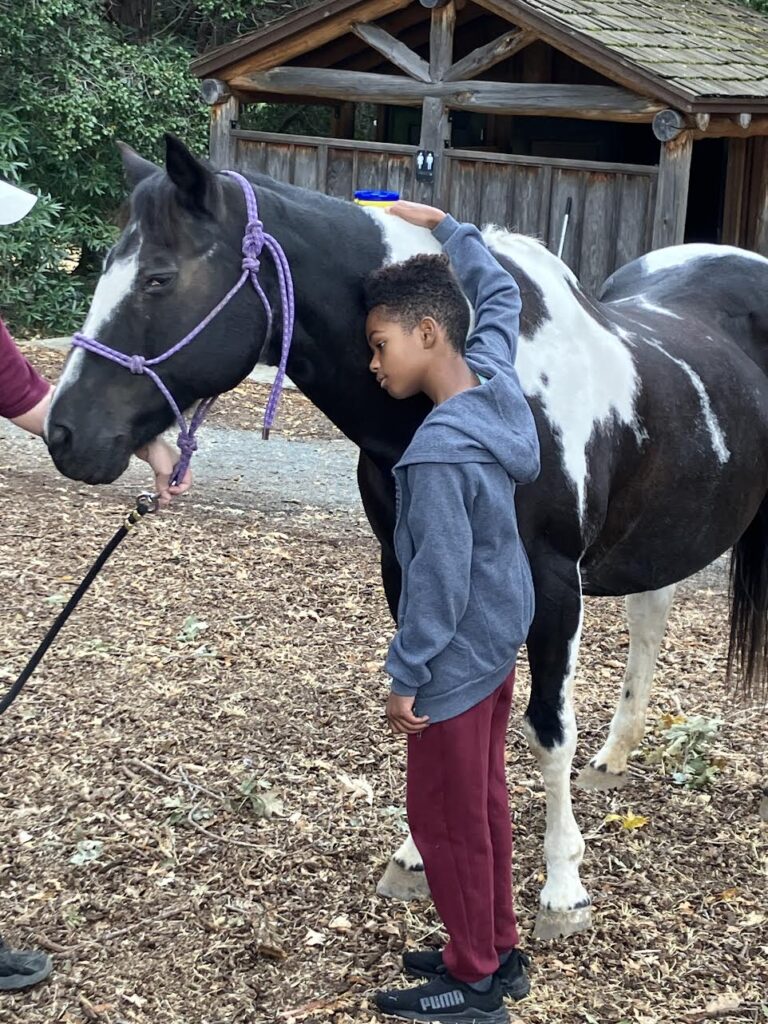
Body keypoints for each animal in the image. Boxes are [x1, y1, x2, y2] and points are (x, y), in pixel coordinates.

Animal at [45, 138, 768, 942]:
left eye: (160, 277)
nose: (64, 433)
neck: (487, 385)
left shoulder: (552, 583)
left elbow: (548, 727)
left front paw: (562, 888)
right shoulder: (411, 566)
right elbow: (432, 706)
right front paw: (420, 853)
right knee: (651, 616)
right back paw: (614, 758)